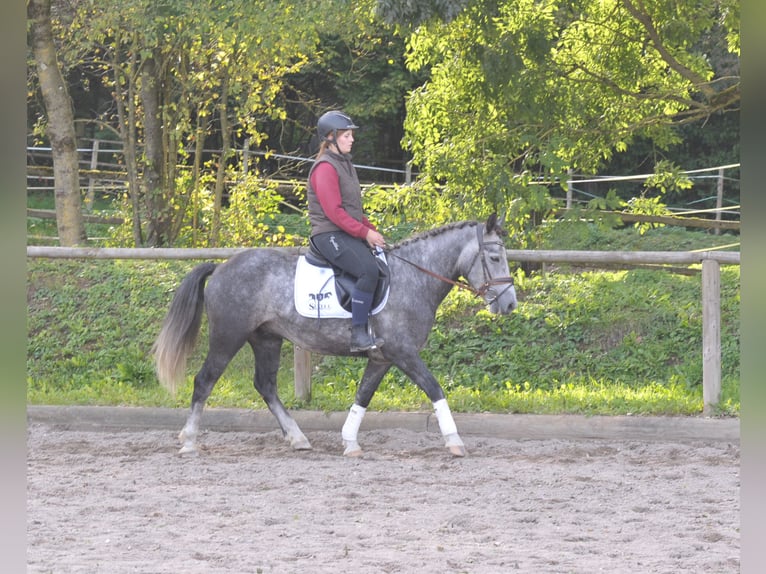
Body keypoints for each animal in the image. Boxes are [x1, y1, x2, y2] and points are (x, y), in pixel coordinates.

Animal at [153, 215, 520, 460]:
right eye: (494, 257)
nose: (510, 304)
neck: (414, 277)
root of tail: (221, 266)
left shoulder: (382, 358)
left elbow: (363, 396)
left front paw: (350, 441)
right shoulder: (403, 353)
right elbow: (435, 388)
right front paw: (455, 441)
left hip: (266, 339)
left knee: (266, 386)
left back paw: (298, 438)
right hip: (228, 336)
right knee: (204, 381)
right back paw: (189, 440)